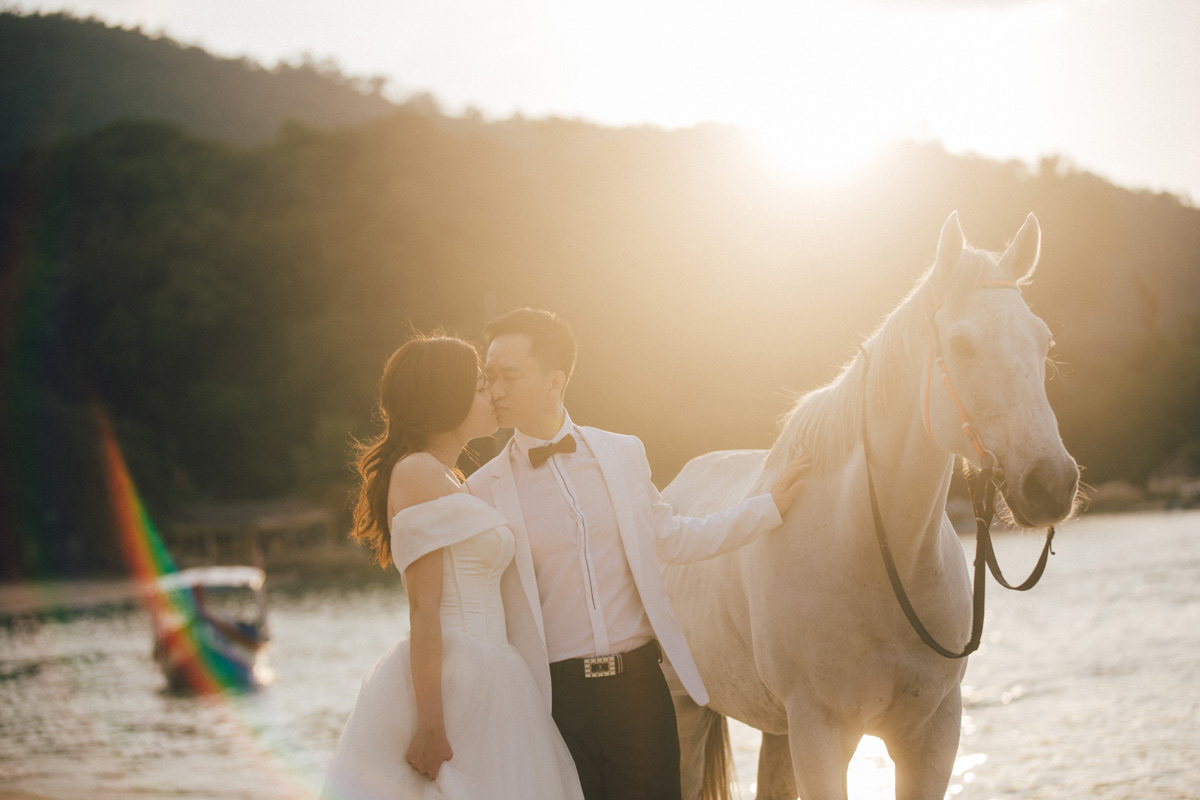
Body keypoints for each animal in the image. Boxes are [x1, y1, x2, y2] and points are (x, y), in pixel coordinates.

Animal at [662, 212, 1084, 800]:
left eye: (1042, 341)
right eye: (961, 344)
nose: (1052, 483)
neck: (872, 555)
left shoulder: (932, 736)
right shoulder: (820, 734)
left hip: (776, 729)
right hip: (686, 713)